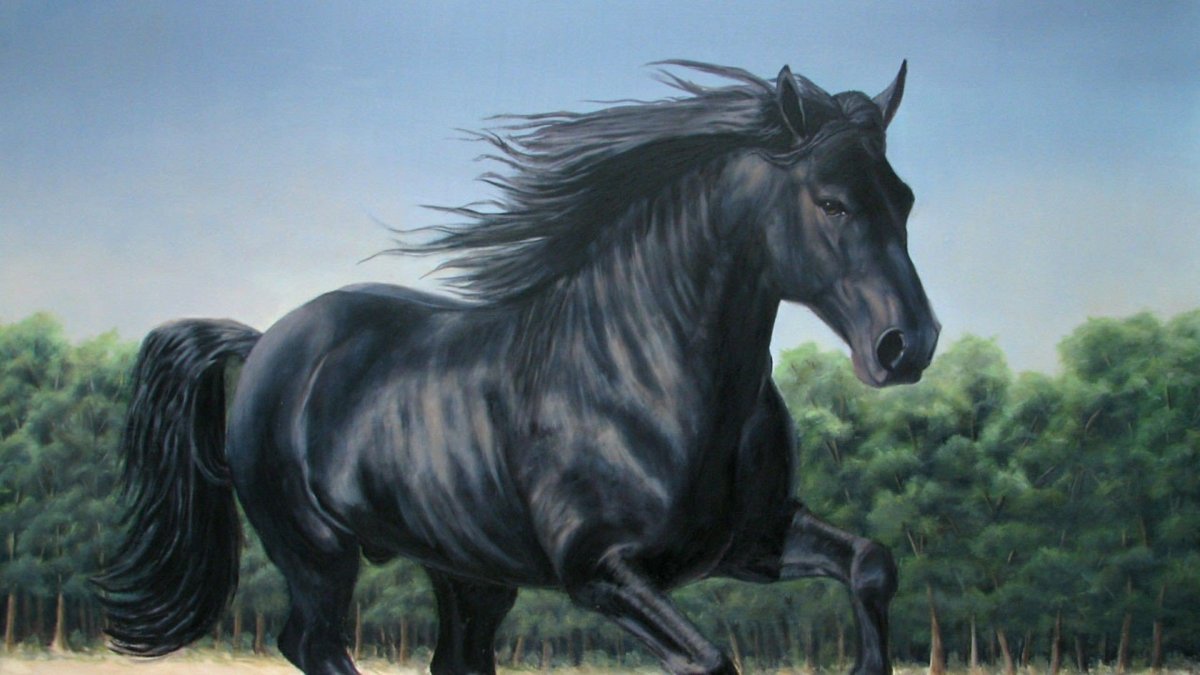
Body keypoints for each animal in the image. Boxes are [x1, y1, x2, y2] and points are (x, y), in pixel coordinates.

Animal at [96, 61, 939, 675]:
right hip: (317, 554)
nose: (910, 345)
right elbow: (707, 661)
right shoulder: (600, 570)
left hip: (468, 573)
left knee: (456, 659)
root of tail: (268, 338)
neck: (652, 372)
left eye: (903, 198)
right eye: (830, 203)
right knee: (313, 643)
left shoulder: (750, 542)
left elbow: (871, 562)